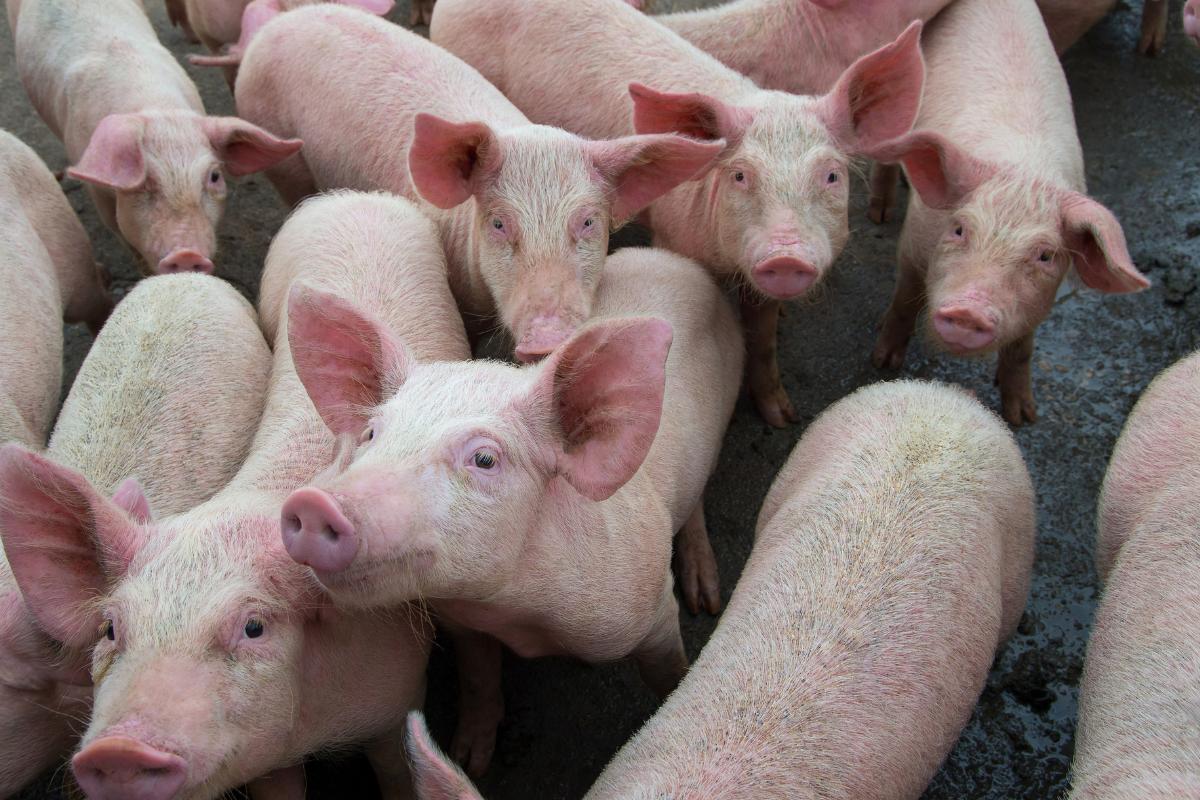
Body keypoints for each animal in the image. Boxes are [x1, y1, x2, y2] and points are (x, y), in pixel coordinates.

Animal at [278, 246, 743, 775]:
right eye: (373, 433)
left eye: (485, 459)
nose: (315, 504)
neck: (511, 612)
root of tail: (668, 257)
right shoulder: (462, 623)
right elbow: (478, 675)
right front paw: (470, 760)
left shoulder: (652, 609)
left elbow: (668, 671)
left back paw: (705, 596)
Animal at [431, 0, 925, 425]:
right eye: (740, 175)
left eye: (831, 175)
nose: (786, 255)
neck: (728, 262)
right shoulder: (671, 232)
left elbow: (764, 338)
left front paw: (784, 418)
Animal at [866, 0, 1148, 426]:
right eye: (959, 229)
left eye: (1045, 255)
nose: (969, 311)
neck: (1023, 172)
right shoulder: (913, 242)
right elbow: (905, 298)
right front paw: (884, 361)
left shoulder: (1043, 301)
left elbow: (1023, 347)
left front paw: (1022, 416)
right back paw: (879, 212)